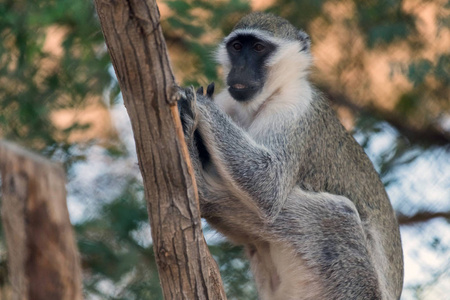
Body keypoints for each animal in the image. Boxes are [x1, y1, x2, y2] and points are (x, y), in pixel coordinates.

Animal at [178, 11, 402, 300]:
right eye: (237, 47)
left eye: (258, 48)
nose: (240, 69)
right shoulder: (230, 101)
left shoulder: (294, 106)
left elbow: (268, 184)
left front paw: (199, 102)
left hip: (357, 286)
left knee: (336, 214)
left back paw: (203, 187)